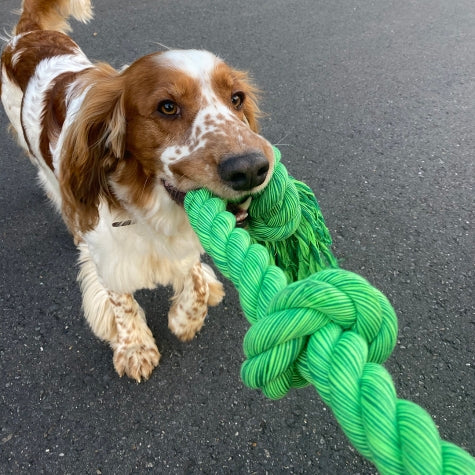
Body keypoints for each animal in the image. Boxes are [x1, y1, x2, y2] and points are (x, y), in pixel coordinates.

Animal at [0, 0, 276, 382]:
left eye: (237, 98)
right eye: (167, 107)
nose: (251, 168)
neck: (153, 207)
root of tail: (28, 35)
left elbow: (193, 276)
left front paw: (187, 317)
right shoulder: (108, 254)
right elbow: (121, 301)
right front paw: (135, 347)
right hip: (39, 160)